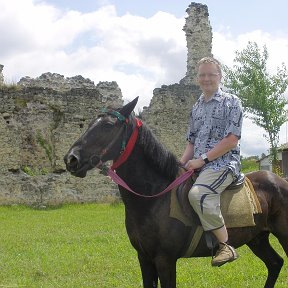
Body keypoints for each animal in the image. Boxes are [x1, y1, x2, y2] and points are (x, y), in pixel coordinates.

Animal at [64, 97, 288, 288]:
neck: (155, 198)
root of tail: (279, 181)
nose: (71, 159)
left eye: (108, 126)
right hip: (257, 238)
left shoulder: (165, 260)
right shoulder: (144, 258)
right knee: (275, 263)